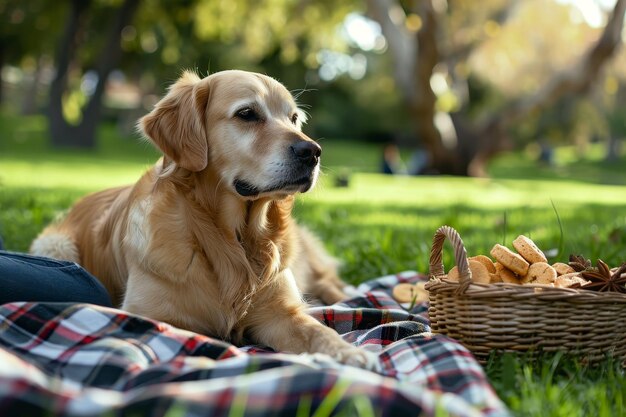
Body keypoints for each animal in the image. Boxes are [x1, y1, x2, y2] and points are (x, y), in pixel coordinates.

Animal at [30, 70, 376, 368]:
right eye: (247, 113)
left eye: (293, 118)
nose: (313, 152)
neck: (235, 240)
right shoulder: (147, 315)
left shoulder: (282, 313)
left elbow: (318, 330)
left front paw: (349, 353)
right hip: (55, 246)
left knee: (331, 283)